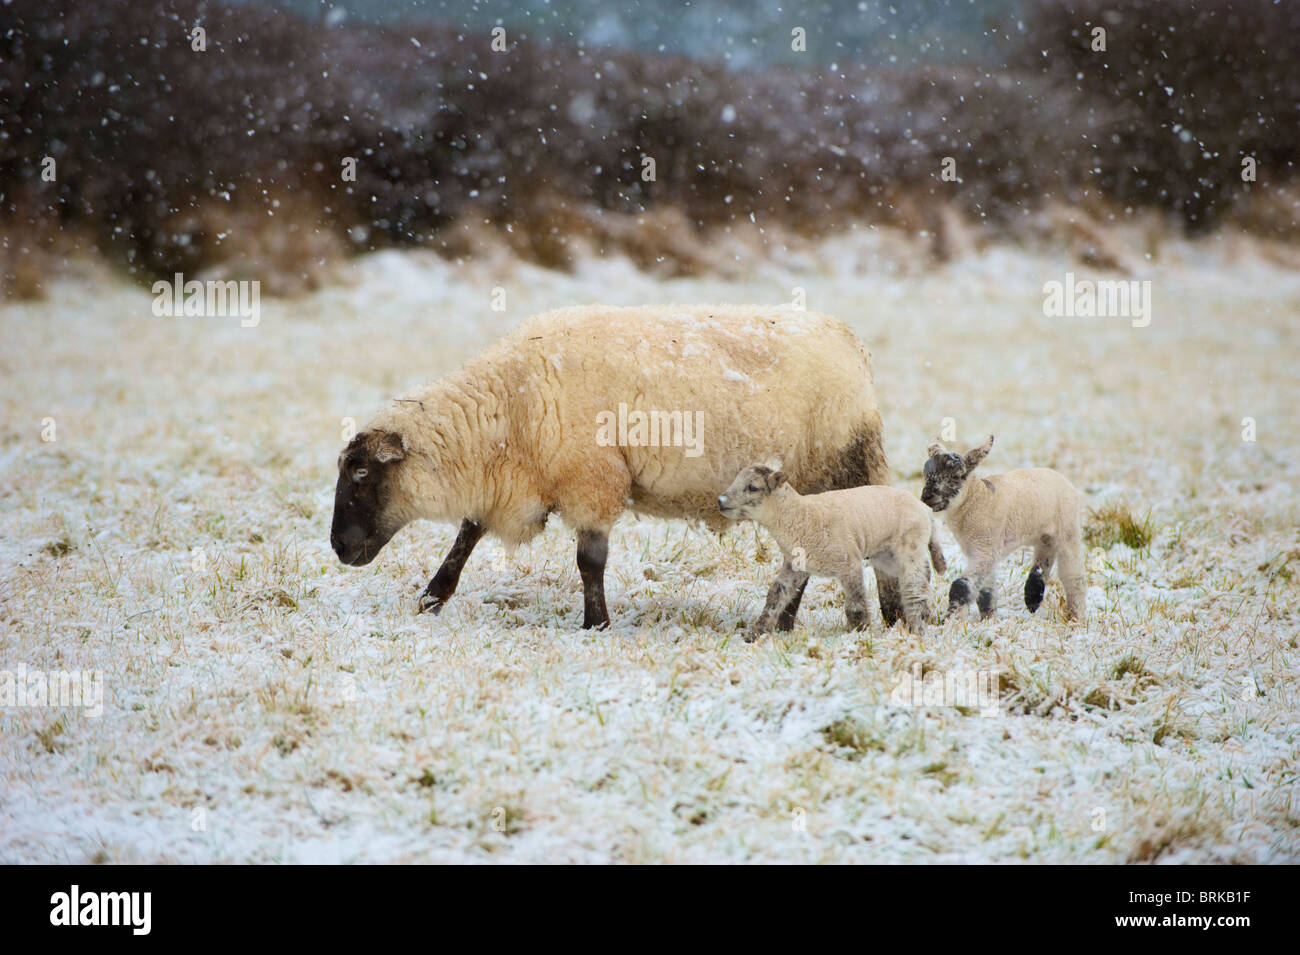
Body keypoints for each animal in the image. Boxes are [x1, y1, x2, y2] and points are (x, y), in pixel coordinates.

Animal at [330, 306, 899, 631]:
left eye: (361, 474)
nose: (338, 547)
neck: (510, 403)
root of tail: (850, 341)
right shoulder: (518, 482)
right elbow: (467, 536)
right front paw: (431, 600)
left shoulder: (592, 480)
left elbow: (590, 562)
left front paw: (595, 625)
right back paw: (788, 625)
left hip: (844, 464)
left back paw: (888, 619)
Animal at [712, 457, 946, 639]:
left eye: (752, 487)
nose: (720, 501)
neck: (800, 516)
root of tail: (925, 510)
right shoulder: (796, 565)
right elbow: (775, 595)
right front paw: (756, 633)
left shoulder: (849, 563)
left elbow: (856, 605)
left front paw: (861, 634)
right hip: (887, 556)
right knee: (920, 580)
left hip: (910, 547)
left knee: (915, 592)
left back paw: (917, 631)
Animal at [920, 436, 1092, 623]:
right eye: (925, 474)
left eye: (956, 476)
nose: (926, 497)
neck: (977, 498)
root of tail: (1063, 478)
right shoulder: (983, 549)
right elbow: (986, 592)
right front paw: (989, 619)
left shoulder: (984, 548)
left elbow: (961, 585)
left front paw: (949, 621)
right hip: (1045, 533)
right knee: (1045, 555)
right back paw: (1033, 597)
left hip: (1068, 527)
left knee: (1073, 577)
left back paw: (1075, 617)